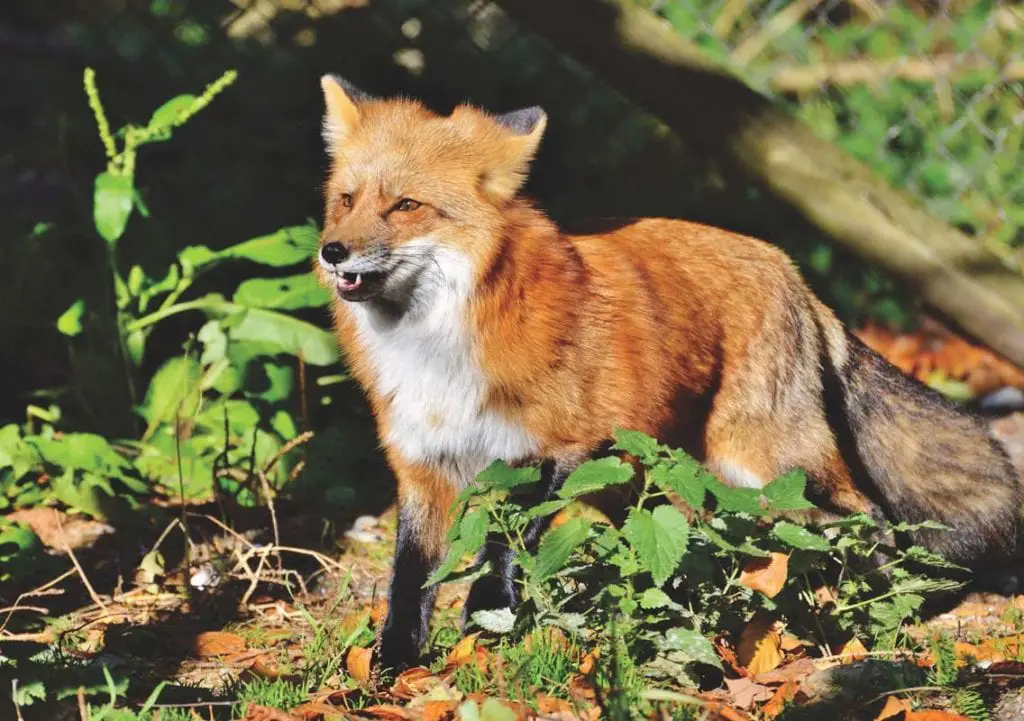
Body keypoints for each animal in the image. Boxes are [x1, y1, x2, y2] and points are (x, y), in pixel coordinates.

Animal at [315, 75, 1019, 671]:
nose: (332, 251)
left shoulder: (558, 450)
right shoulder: (423, 466)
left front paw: (486, 635)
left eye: (407, 205)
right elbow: (410, 581)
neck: (438, 345)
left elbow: (502, 554)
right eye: (347, 200)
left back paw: (865, 609)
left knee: (865, 517)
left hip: (765, 462)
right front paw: (392, 666)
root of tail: (788, 266)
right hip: (651, 479)